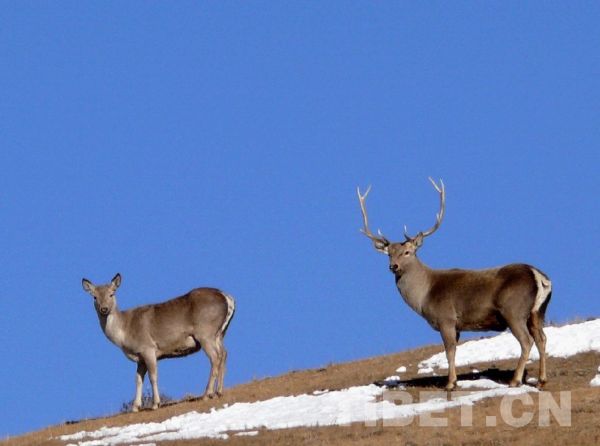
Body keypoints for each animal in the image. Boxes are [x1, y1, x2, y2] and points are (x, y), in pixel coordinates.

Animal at [81, 274, 234, 412]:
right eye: (94, 297)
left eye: (112, 294)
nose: (104, 309)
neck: (124, 333)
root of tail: (228, 298)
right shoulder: (140, 357)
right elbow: (138, 379)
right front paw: (136, 407)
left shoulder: (147, 348)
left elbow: (153, 376)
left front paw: (156, 404)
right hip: (219, 334)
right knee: (224, 353)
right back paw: (219, 391)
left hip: (205, 333)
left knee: (215, 357)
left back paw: (207, 394)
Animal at [358, 179, 552, 388]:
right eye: (389, 254)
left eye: (407, 252)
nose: (393, 266)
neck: (425, 296)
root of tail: (539, 276)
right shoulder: (457, 325)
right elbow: (453, 351)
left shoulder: (446, 318)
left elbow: (449, 351)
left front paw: (451, 383)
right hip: (537, 312)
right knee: (542, 338)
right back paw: (541, 380)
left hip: (513, 311)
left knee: (526, 341)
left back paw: (515, 380)